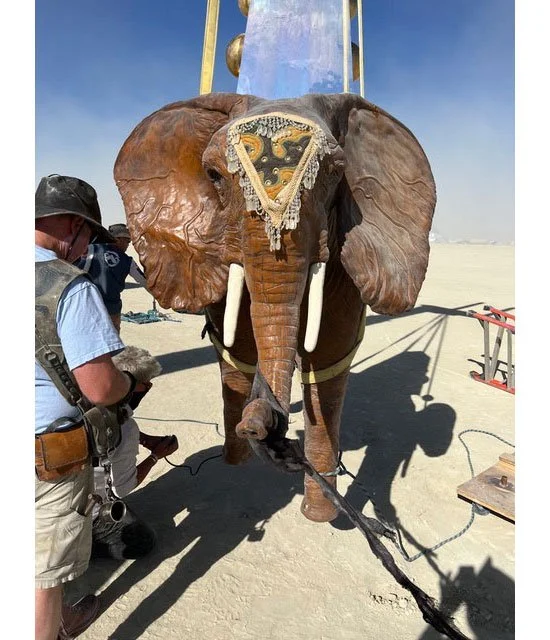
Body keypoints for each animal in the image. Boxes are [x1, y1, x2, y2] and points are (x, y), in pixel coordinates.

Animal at [113, 92, 436, 523]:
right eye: (214, 175)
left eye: (335, 174)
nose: (257, 428)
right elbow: (236, 346)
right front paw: (239, 459)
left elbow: (328, 361)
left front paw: (320, 515)